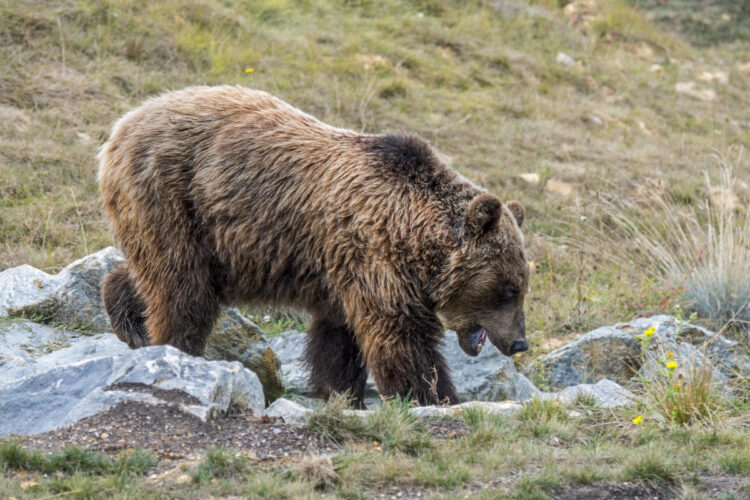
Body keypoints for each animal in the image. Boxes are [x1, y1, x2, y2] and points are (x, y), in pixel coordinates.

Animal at [99, 85, 529, 408]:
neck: (413, 235)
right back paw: (174, 348)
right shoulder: (372, 256)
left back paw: (128, 319)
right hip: (172, 195)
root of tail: (122, 124)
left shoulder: (341, 269)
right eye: (509, 289)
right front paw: (435, 396)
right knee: (182, 287)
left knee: (156, 274)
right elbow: (401, 336)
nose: (519, 342)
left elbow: (338, 339)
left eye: (522, 287)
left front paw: (343, 394)